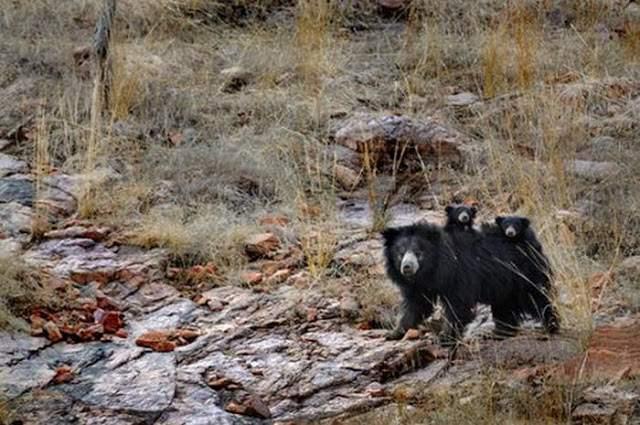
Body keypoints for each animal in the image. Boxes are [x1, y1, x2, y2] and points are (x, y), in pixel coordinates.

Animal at [382, 217, 556, 342]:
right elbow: (416, 304)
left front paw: (445, 336)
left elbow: (457, 304)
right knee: (504, 307)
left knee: (536, 298)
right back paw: (499, 333)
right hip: (503, 284)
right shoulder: (419, 286)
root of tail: (532, 241)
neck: (432, 270)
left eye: (418, 253)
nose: (407, 268)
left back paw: (550, 327)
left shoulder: (458, 275)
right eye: (400, 253)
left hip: (523, 273)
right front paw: (393, 333)